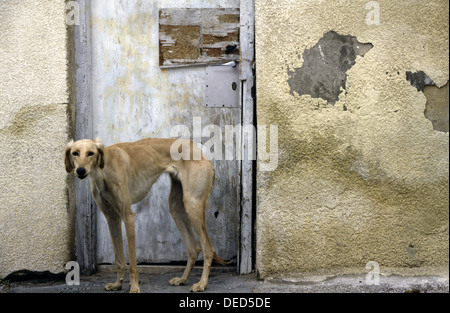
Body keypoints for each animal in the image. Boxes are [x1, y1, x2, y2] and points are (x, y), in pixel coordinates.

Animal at [65, 138, 227, 292]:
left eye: (91, 153)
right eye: (75, 153)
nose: (80, 171)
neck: (103, 169)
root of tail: (202, 154)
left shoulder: (128, 216)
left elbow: (132, 262)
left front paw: (134, 288)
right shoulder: (112, 218)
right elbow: (119, 259)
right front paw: (117, 284)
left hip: (193, 206)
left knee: (208, 250)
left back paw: (202, 284)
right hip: (177, 208)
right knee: (194, 248)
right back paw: (183, 279)